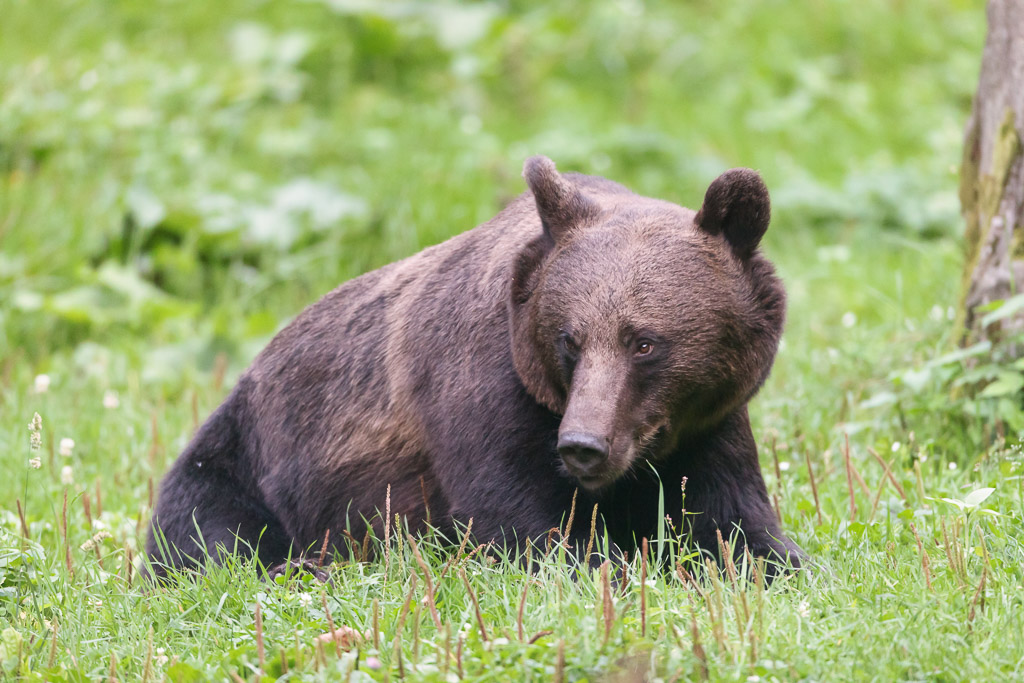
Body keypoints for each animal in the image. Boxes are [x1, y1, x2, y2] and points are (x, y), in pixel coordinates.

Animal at [146, 155, 802, 580]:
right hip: (247, 457)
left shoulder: (706, 424)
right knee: (211, 532)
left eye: (645, 342)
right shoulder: (485, 388)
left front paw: (774, 565)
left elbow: (733, 520)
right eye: (570, 339)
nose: (583, 445)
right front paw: (616, 568)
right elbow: (522, 520)